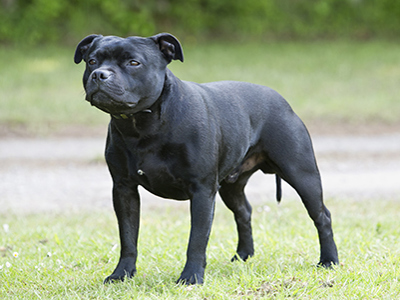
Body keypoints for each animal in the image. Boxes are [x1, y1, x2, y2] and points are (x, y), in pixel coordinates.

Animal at [74, 34, 338, 284]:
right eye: (92, 61)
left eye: (133, 62)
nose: (99, 74)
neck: (140, 124)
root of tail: (281, 99)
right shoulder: (124, 189)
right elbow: (128, 237)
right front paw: (122, 274)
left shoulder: (201, 190)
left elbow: (197, 239)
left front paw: (191, 278)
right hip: (231, 186)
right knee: (244, 212)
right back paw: (243, 255)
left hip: (302, 174)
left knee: (322, 216)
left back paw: (329, 261)